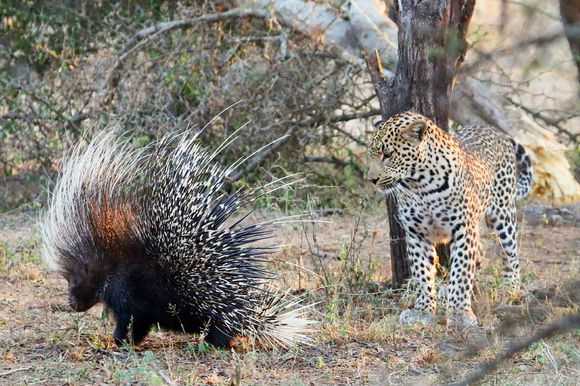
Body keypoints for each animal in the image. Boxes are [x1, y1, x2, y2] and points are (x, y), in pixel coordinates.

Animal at [370, 110, 532, 328]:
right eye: (371, 154)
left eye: (388, 155)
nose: (372, 179)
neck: (420, 185)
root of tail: (492, 129)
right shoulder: (416, 234)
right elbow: (422, 274)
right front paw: (422, 311)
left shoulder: (463, 229)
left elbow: (461, 271)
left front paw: (459, 313)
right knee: (480, 254)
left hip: (502, 215)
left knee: (509, 253)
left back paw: (511, 288)